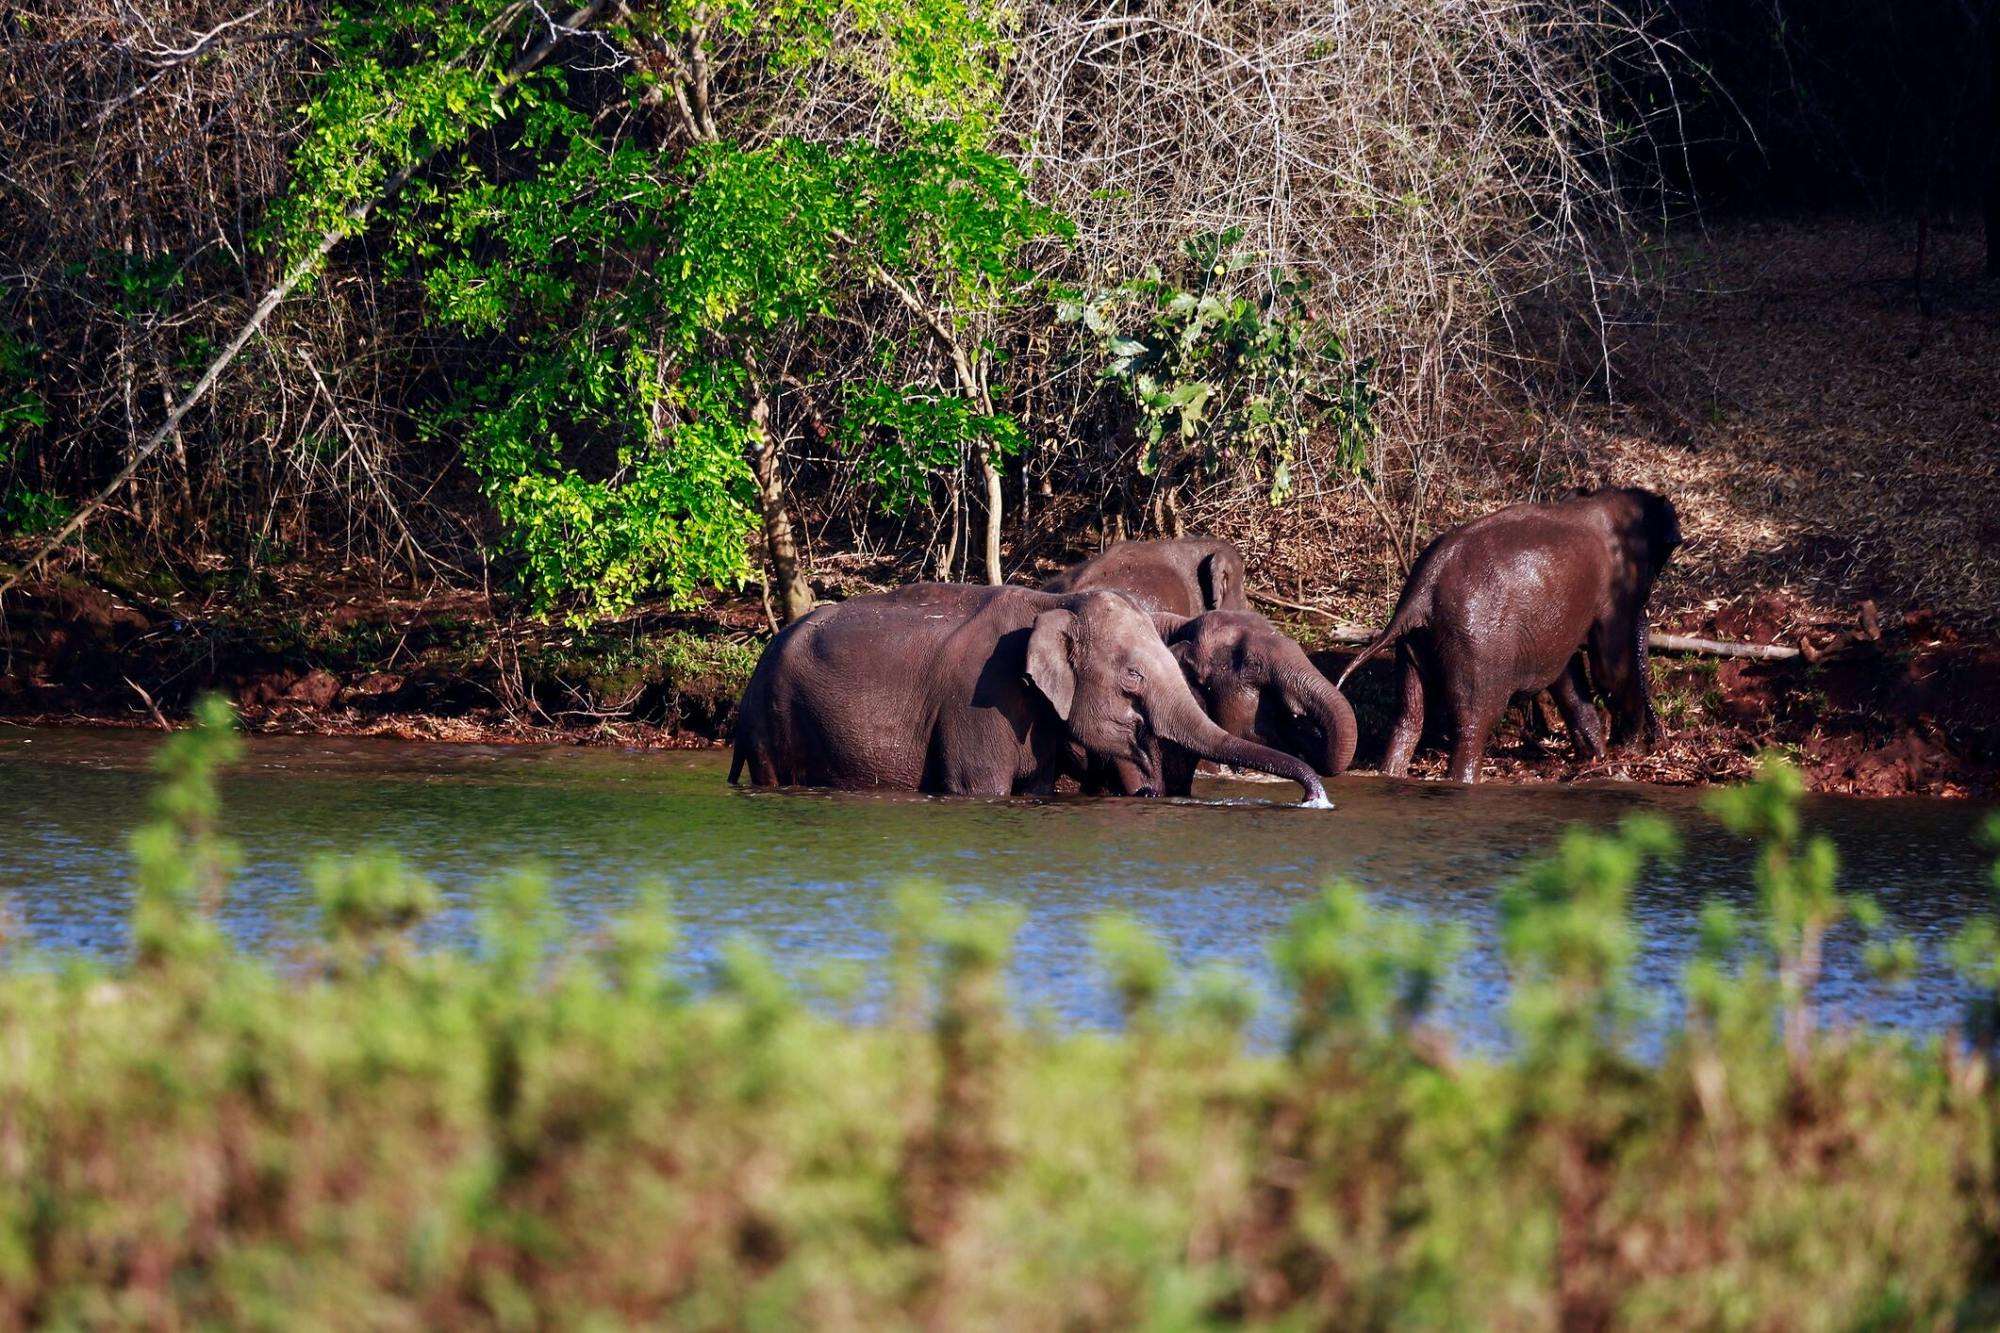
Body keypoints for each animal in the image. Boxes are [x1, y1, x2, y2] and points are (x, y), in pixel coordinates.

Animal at [730, 583, 1330, 805]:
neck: (1053, 601)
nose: (1314, 799)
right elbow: (981, 787)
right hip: (771, 720)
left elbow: (1037, 784)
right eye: (1133, 677)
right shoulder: (979, 700)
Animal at [1336, 487, 1683, 784]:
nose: (1653, 747)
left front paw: (1599, 756)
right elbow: (1609, 670)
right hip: (1477, 645)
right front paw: (1624, 751)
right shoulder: (1614, 591)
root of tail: (1420, 592)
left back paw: (1390, 773)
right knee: (1474, 722)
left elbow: (1568, 675)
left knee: (1409, 716)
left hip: (1415, 644)